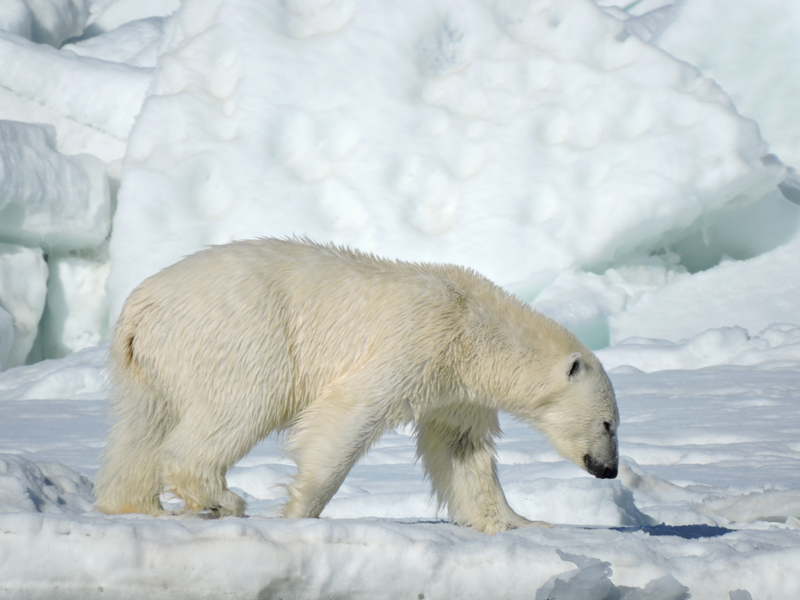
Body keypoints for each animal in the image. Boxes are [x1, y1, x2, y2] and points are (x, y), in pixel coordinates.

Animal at [95, 237, 620, 532]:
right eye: (609, 424)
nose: (610, 470)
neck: (477, 328)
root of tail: (141, 306)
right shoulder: (420, 340)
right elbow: (349, 414)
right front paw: (301, 512)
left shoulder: (458, 389)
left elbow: (461, 449)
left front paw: (519, 521)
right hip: (241, 334)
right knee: (238, 407)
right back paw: (222, 498)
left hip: (147, 362)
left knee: (141, 426)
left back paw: (135, 504)